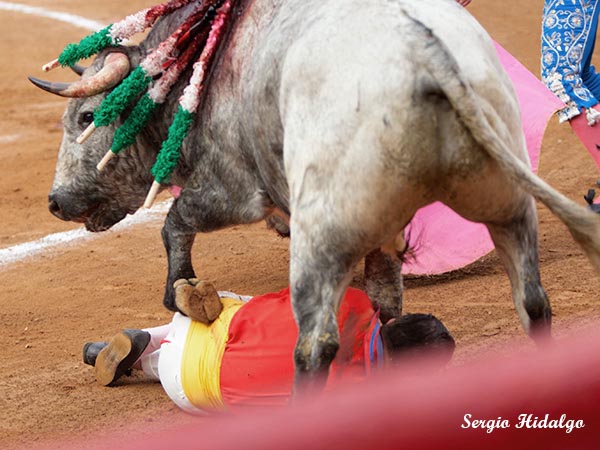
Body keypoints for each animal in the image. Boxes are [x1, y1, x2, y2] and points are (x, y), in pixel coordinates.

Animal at [30, 0, 600, 394]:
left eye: (86, 117)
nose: (56, 202)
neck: (204, 63)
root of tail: (422, 55)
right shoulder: (382, 238)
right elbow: (386, 300)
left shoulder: (232, 188)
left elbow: (176, 220)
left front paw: (179, 292)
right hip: (509, 206)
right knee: (533, 304)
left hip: (321, 238)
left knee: (315, 346)